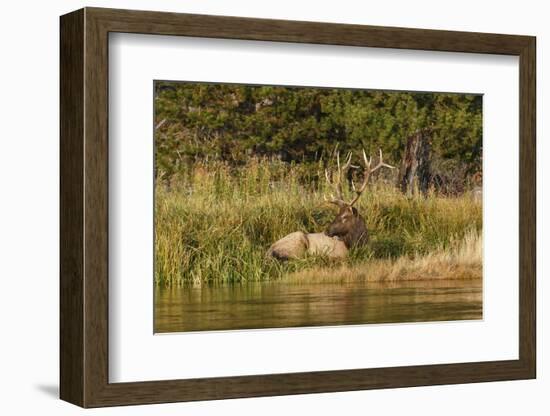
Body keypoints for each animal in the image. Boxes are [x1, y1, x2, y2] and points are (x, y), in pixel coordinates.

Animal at [268, 150, 396, 260]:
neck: (358, 244)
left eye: (344, 216)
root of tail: (269, 251)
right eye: (337, 214)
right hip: (298, 243)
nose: (326, 231)